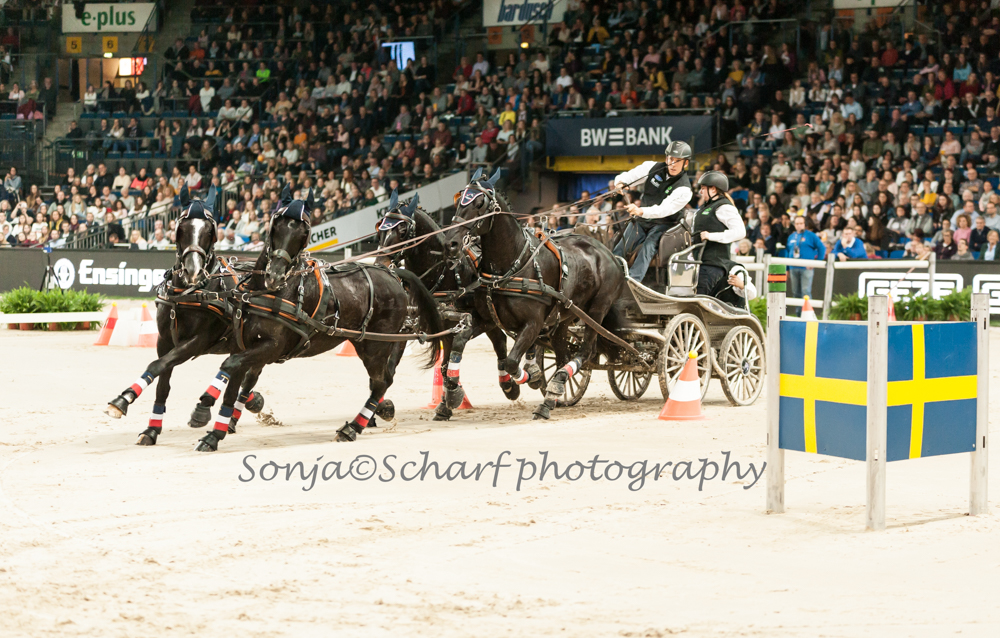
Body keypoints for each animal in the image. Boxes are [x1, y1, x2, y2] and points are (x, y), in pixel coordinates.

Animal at [104, 186, 266, 445]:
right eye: (181, 227)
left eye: (210, 230)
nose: (192, 271)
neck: (189, 293)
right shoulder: (164, 340)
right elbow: (162, 381)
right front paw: (151, 430)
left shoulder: (198, 341)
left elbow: (158, 364)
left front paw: (122, 400)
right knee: (240, 376)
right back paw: (246, 402)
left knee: (247, 375)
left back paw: (226, 412)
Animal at [188, 197, 447, 451]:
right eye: (276, 227)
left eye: (303, 234)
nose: (275, 275)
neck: (272, 292)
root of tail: (391, 273)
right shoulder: (245, 346)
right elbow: (234, 383)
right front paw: (215, 435)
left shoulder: (272, 347)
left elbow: (229, 366)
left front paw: (203, 407)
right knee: (381, 380)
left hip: (376, 344)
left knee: (381, 382)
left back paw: (353, 428)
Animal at [375, 189, 521, 420]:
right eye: (379, 229)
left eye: (403, 230)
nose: (380, 264)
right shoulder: (409, 327)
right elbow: (390, 368)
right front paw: (383, 407)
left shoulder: (461, 326)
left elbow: (446, 366)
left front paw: (449, 401)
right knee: (499, 340)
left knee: (501, 343)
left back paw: (512, 386)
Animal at [443, 169, 631, 420]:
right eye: (458, 200)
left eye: (480, 203)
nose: (451, 243)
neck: (511, 265)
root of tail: (608, 253)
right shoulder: (487, 318)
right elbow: (459, 342)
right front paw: (453, 391)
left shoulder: (533, 323)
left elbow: (511, 362)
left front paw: (525, 380)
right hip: (564, 316)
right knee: (563, 354)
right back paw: (552, 395)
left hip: (597, 310)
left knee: (586, 351)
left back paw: (553, 388)